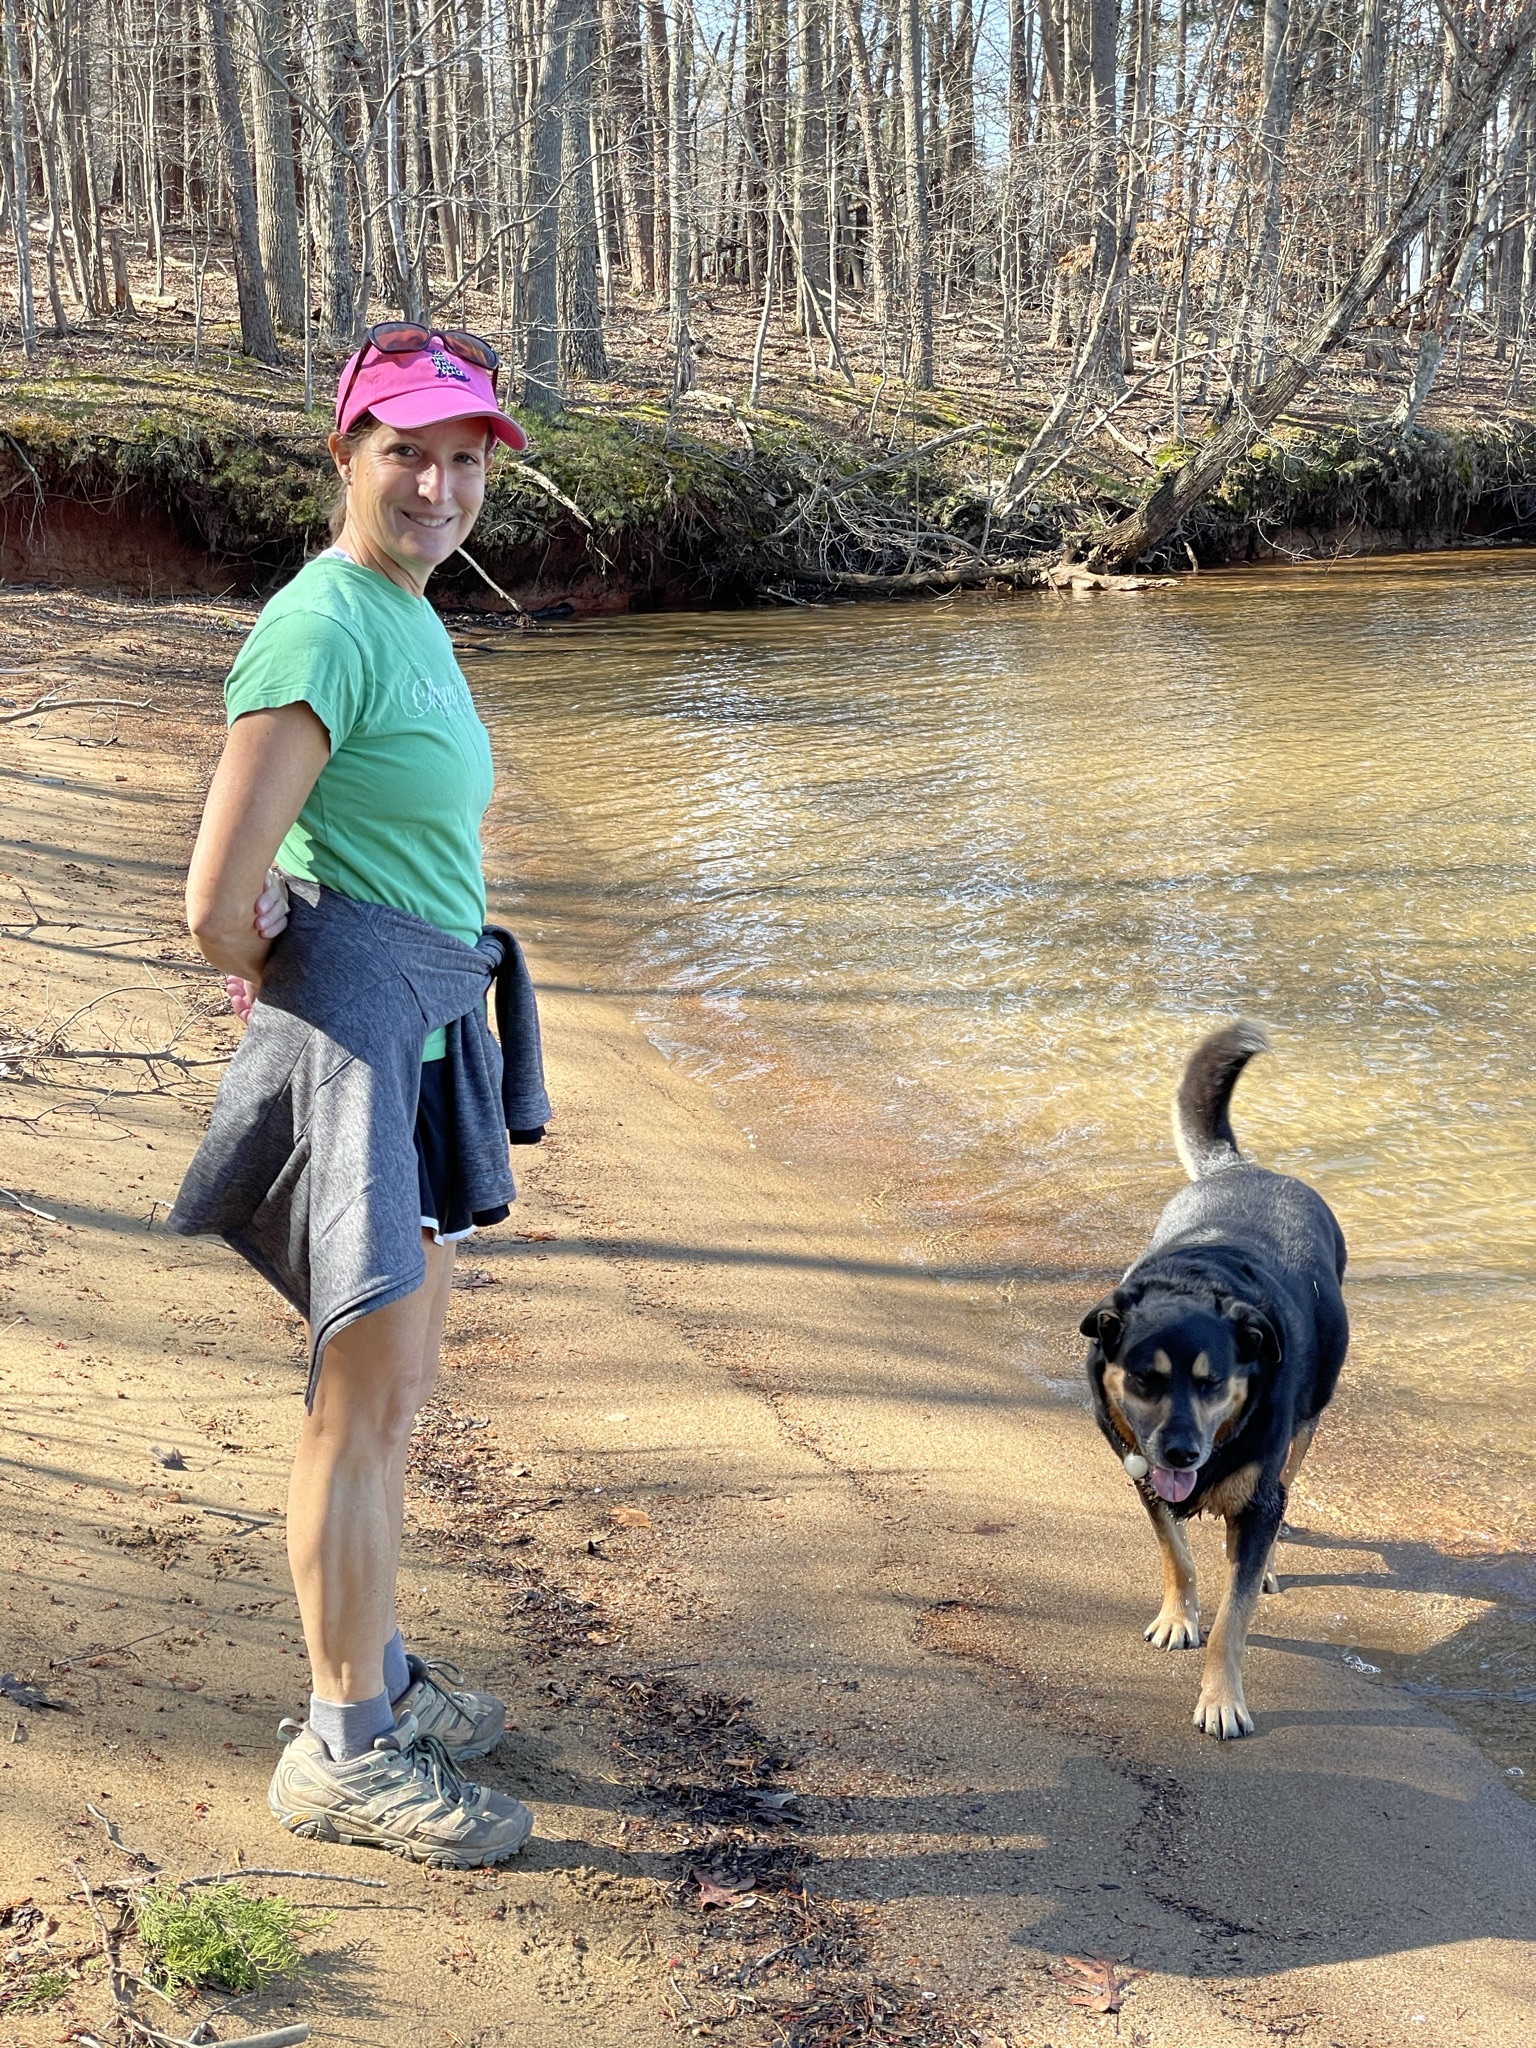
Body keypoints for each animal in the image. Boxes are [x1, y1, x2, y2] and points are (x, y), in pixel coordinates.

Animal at [1081, 1015, 1343, 1736]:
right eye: (1144, 1379)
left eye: (1211, 1381)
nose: (1182, 1452)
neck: (1197, 1282)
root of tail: (1244, 1168)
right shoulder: (1141, 1477)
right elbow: (1177, 1554)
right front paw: (1178, 1618)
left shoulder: (1255, 1497)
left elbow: (1236, 1614)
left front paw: (1222, 1699)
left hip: (1308, 1419)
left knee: (1287, 1484)